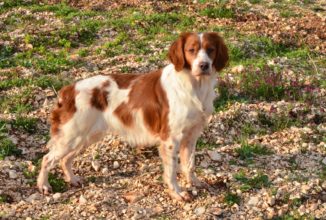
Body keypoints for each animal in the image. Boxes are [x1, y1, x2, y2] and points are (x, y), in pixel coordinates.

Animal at [37, 31, 228, 202]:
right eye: (191, 50)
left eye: (210, 49)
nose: (204, 65)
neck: (195, 86)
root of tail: (68, 89)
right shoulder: (170, 139)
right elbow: (172, 171)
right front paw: (177, 193)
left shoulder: (191, 136)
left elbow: (189, 164)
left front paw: (194, 182)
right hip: (71, 136)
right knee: (47, 159)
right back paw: (44, 186)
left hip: (86, 137)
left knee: (65, 160)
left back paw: (73, 179)